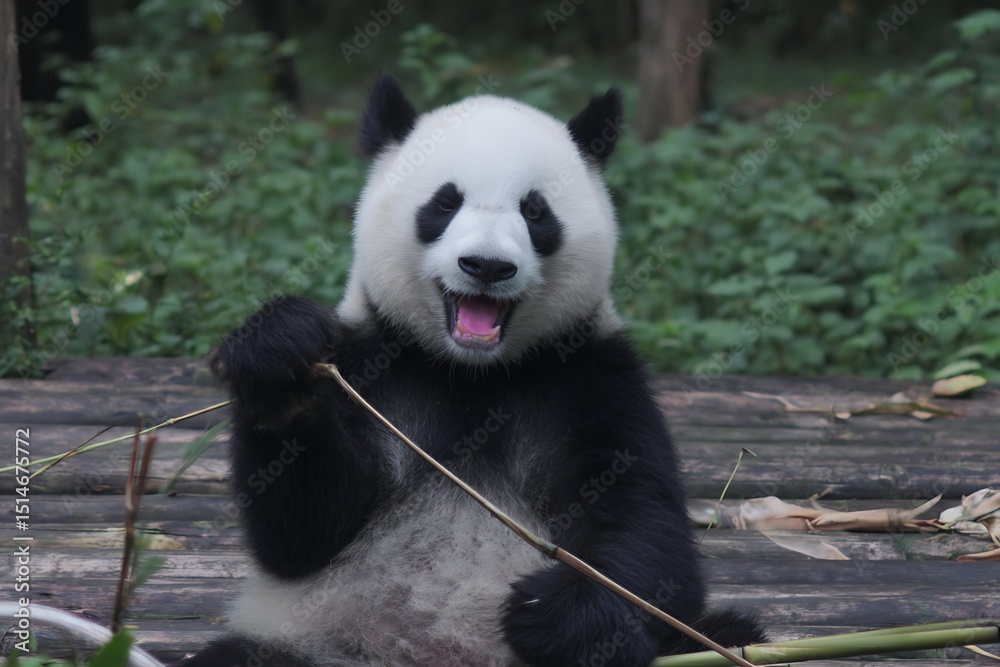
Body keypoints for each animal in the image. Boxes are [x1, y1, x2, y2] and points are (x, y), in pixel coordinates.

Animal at [180, 73, 765, 667]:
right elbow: (304, 531)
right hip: (312, 643)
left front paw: (557, 614)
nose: (486, 265)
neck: (471, 373)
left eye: (535, 211)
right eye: (444, 203)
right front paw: (280, 361)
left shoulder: (590, 375)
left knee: (726, 634)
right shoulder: (372, 363)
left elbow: (644, 523)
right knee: (240, 656)